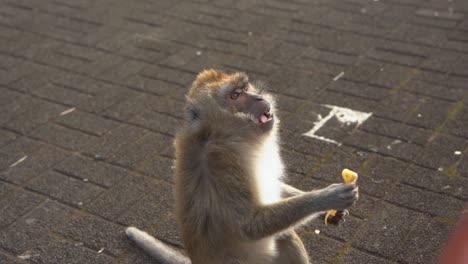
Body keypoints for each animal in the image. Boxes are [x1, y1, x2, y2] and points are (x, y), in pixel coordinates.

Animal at [125, 69, 358, 262]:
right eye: (235, 96)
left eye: (246, 88)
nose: (259, 97)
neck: (223, 136)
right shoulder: (221, 163)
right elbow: (249, 226)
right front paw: (326, 197)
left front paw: (331, 212)